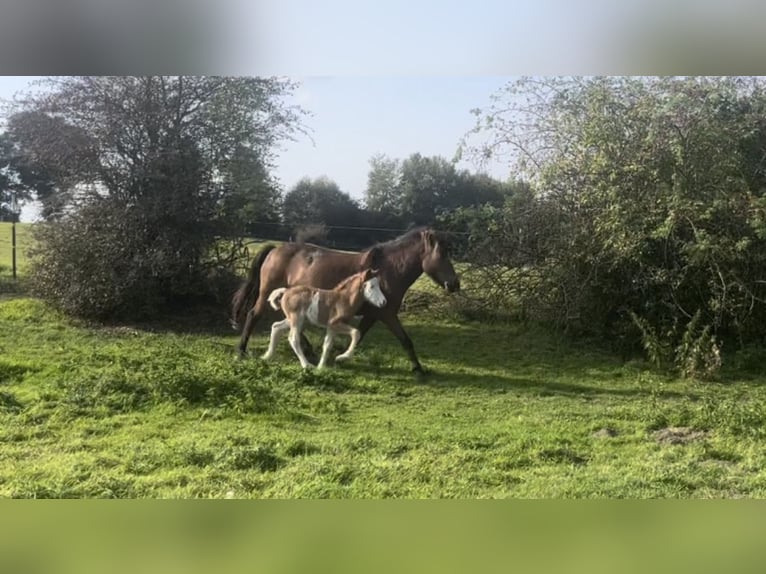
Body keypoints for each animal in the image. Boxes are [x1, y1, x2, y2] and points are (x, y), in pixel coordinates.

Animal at [232, 227, 462, 376]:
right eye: (441, 254)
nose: (454, 284)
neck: (388, 271)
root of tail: (274, 249)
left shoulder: (374, 315)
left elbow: (362, 336)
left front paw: (336, 356)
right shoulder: (386, 314)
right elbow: (404, 340)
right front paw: (418, 369)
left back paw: (308, 350)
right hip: (266, 293)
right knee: (254, 315)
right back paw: (242, 351)